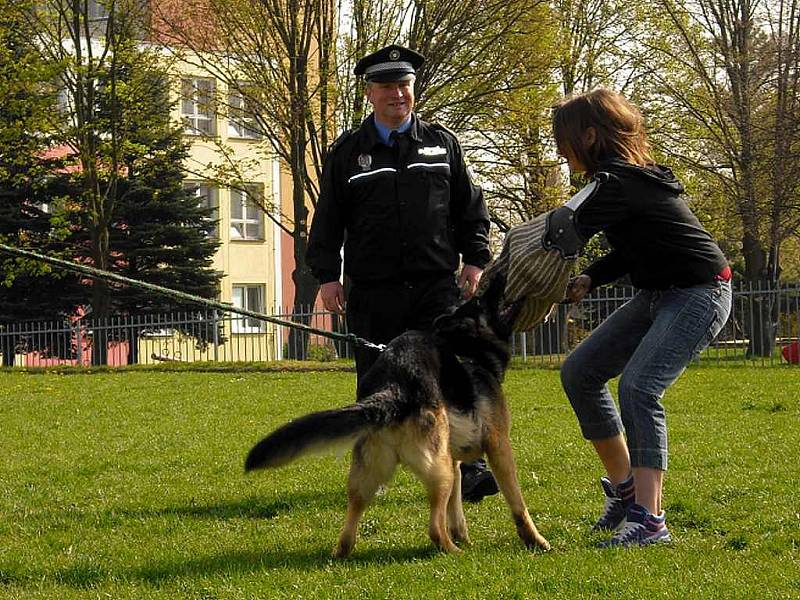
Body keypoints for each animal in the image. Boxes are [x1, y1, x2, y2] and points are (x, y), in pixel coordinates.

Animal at [245, 278, 552, 556]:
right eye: (480, 301)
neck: (468, 349)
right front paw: (535, 540)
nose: (499, 278)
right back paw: (453, 551)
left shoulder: (454, 460)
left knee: (351, 523)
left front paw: (463, 535)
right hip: (438, 470)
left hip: (373, 474)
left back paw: (343, 553)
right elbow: (518, 503)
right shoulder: (499, 447)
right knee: (434, 528)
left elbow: (456, 508)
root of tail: (394, 386)